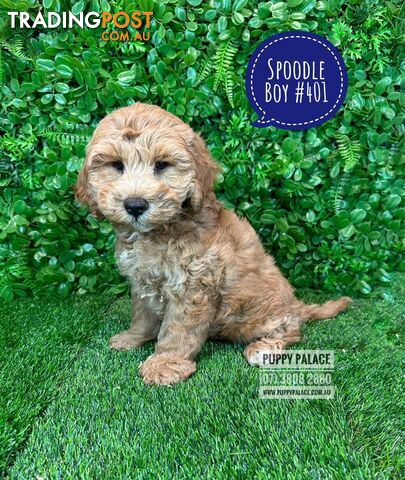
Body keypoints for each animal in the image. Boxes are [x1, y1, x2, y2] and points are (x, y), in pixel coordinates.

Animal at [76, 104, 350, 386]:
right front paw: (132, 337)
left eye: (162, 165)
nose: (135, 205)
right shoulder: (142, 281)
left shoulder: (193, 286)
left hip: (261, 317)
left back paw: (263, 348)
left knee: (291, 329)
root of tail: (298, 306)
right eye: (116, 165)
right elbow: (142, 314)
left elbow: (178, 330)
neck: (158, 232)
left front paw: (165, 364)